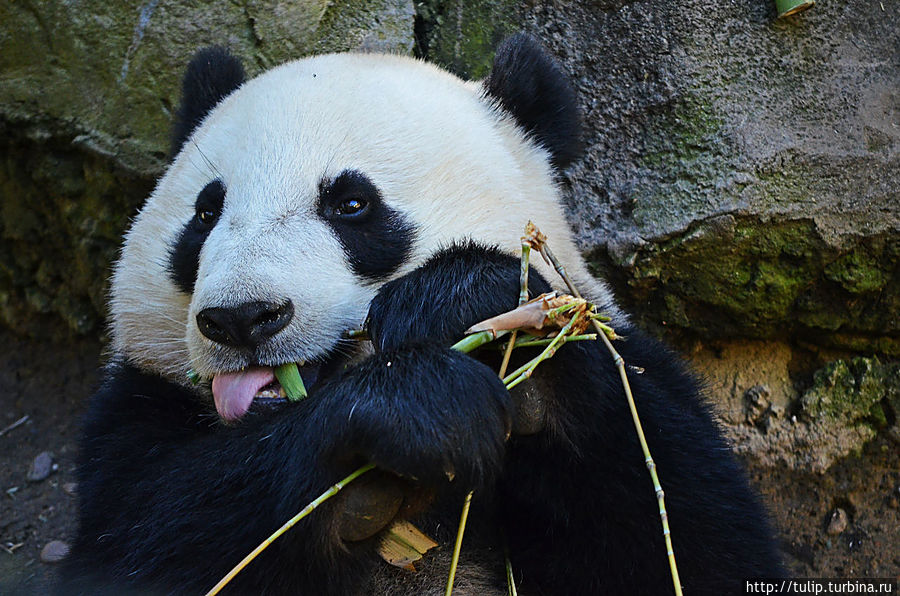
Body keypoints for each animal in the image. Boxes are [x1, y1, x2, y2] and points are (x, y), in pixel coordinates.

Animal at [59, 35, 784, 592]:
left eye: (352, 205)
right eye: (205, 215)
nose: (242, 318)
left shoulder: (627, 358)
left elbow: (690, 538)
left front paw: (470, 307)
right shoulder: (132, 415)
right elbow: (151, 534)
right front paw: (417, 411)